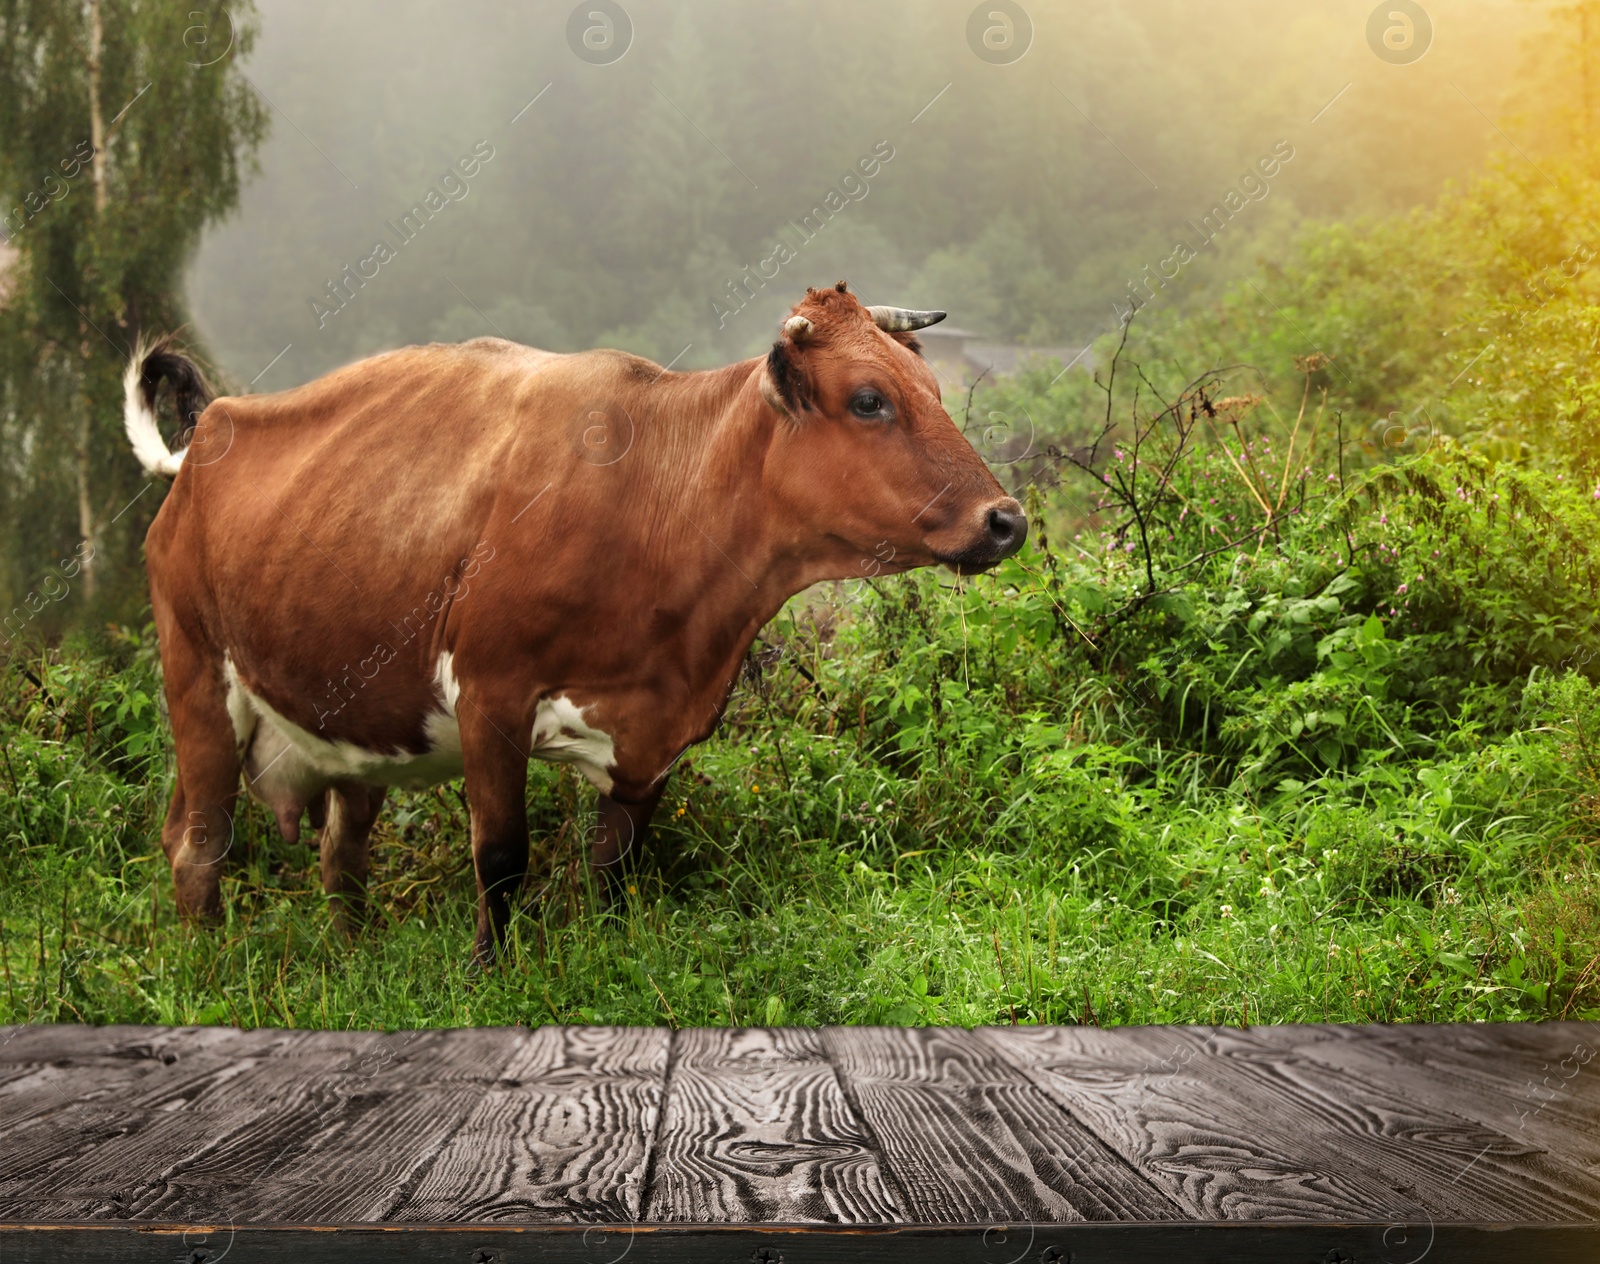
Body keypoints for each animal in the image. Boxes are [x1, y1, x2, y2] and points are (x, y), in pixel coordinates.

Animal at [121, 284, 1024, 960]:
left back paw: (353, 961)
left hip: (348, 722)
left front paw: (609, 949)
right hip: (197, 678)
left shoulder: (657, 734)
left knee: (339, 854)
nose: (1006, 520)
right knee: (198, 844)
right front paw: (489, 973)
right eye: (869, 400)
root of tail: (211, 429)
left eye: (935, 392)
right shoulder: (490, 692)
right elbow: (501, 858)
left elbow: (615, 868)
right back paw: (205, 971)